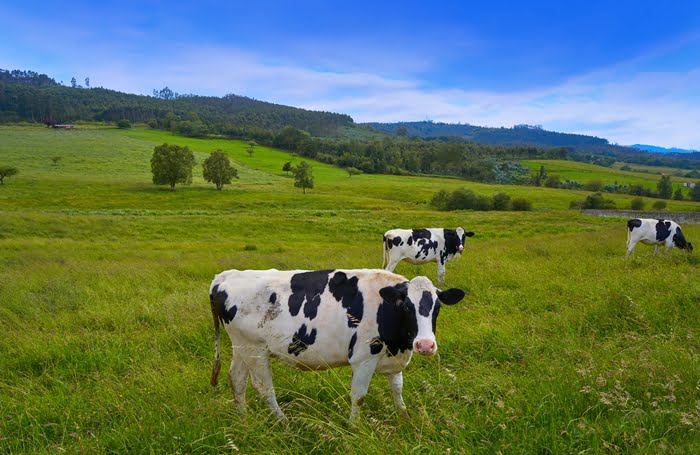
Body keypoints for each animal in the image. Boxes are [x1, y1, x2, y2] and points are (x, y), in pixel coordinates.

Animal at [211, 268, 468, 422]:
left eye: (437, 307)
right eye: (406, 306)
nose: (425, 345)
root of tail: (225, 276)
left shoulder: (392, 357)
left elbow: (397, 388)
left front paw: (404, 416)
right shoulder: (364, 358)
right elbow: (359, 396)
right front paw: (355, 425)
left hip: (241, 347)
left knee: (237, 379)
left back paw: (242, 418)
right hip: (254, 349)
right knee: (264, 388)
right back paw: (282, 421)